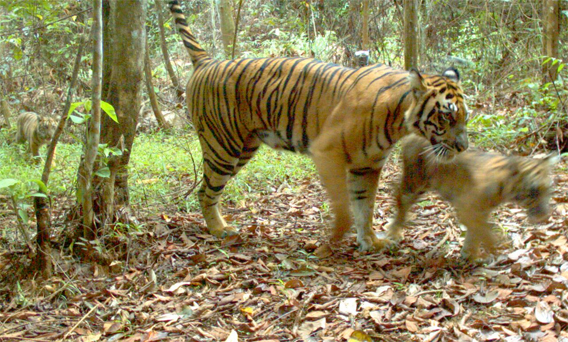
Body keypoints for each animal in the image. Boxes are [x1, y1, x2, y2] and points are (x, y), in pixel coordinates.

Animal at [170, 0, 470, 251]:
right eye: (446, 116)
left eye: (465, 116)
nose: (463, 147)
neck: (398, 120)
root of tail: (207, 61)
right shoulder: (329, 153)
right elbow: (344, 205)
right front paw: (336, 238)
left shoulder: (367, 166)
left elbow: (365, 205)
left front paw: (370, 241)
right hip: (222, 147)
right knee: (206, 191)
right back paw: (219, 229)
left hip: (243, 148)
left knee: (208, 189)